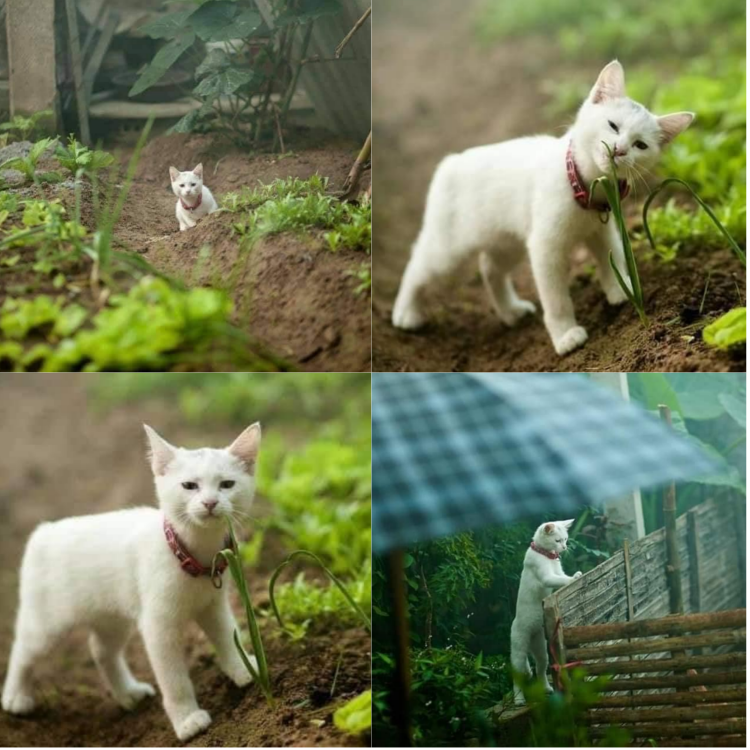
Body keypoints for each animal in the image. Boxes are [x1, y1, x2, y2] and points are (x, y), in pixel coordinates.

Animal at [2, 426, 262, 744]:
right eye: (189, 486)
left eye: (227, 484)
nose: (210, 503)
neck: (189, 554)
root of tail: (44, 531)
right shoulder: (157, 626)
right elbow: (174, 679)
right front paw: (187, 720)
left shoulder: (213, 605)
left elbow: (228, 636)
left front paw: (245, 669)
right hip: (46, 623)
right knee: (23, 650)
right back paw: (15, 698)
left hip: (111, 616)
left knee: (101, 651)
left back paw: (128, 693)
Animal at [390, 58, 696, 356]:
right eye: (613, 126)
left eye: (640, 145)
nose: (619, 150)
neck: (584, 186)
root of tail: (452, 161)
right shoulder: (545, 247)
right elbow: (556, 298)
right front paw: (565, 336)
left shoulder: (602, 229)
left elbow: (613, 259)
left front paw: (623, 291)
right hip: (448, 247)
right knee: (417, 266)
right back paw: (406, 314)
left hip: (508, 240)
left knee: (489, 268)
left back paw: (510, 311)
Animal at [508, 520, 584, 708]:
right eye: (557, 540)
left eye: (565, 539)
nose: (564, 547)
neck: (546, 556)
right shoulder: (547, 576)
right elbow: (561, 579)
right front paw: (573, 578)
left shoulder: (558, 571)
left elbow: (562, 576)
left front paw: (575, 575)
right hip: (519, 652)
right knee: (517, 677)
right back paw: (519, 699)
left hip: (541, 649)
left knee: (540, 669)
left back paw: (547, 688)